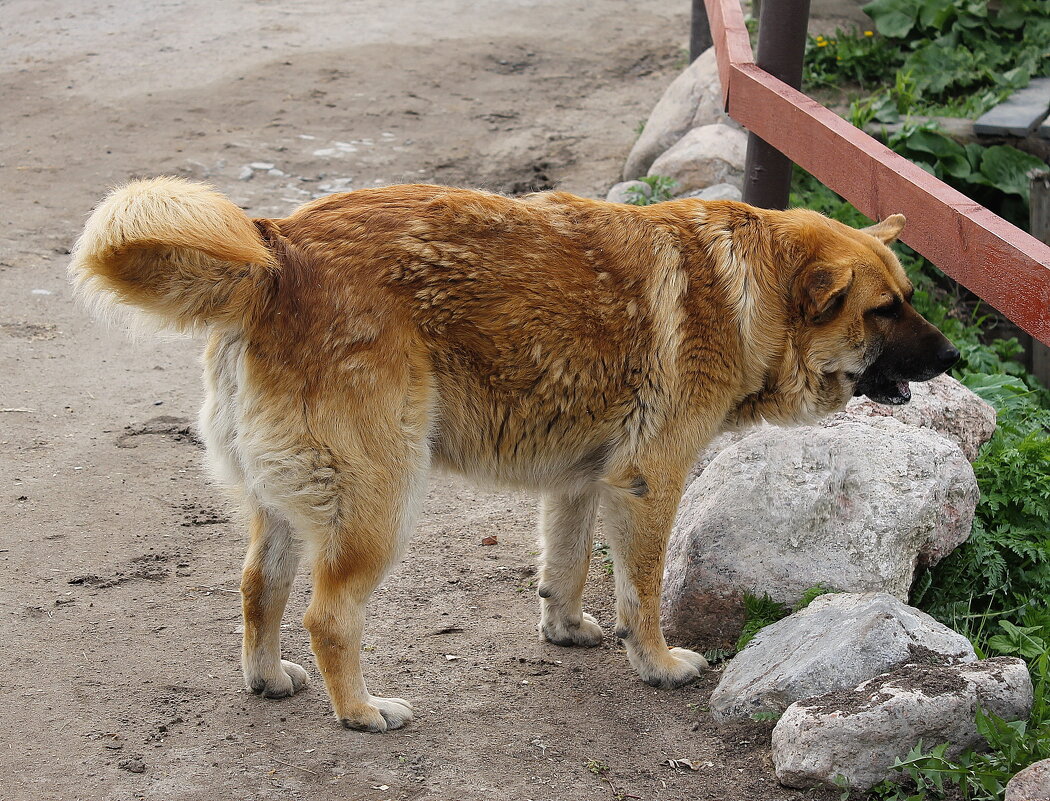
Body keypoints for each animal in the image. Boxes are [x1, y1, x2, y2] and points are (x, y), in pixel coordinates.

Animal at [71, 180, 961, 734]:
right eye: (885, 310)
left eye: (909, 297)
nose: (955, 355)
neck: (752, 287)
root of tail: (276, 250)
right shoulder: (650, 484)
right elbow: (641, 589)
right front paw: (656, 663)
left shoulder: (581, 483)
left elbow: (564, 568)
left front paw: (564, 630)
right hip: (380, 503)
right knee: (329, 616)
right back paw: (359, 711)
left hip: (288, 505)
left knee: (260, 586)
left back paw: (267, 678)